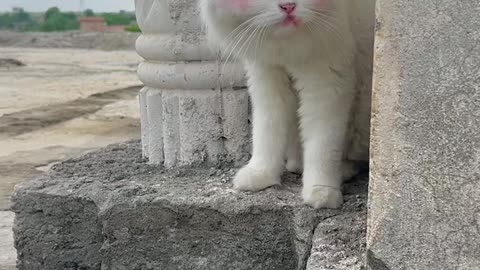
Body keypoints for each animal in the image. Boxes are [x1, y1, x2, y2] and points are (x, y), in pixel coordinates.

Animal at [199, 0, 376, 209]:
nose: (288, 6)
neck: (287, 48)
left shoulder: (326, 84)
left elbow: (321, 147)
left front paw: (321, 192)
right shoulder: (266, 77)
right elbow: (266, 133)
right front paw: (260, 174)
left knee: (354, 159)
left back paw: (339, 171)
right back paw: (297, 163)